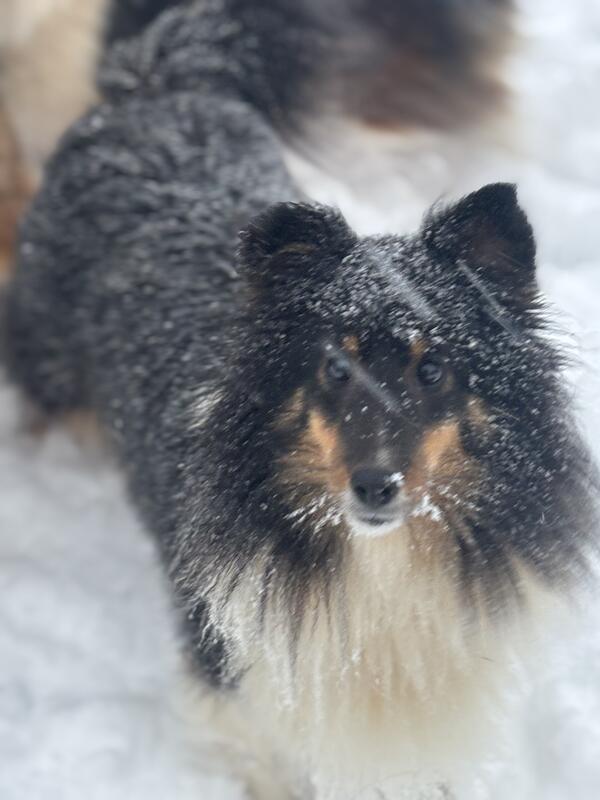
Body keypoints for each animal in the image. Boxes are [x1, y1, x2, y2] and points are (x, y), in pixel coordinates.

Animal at [3, 0, 597, 797]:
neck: (377, 562)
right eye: (335, 370)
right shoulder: (241, 695)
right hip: (47, 353)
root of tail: (162, 81)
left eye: (433, 368)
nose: (376, 486)